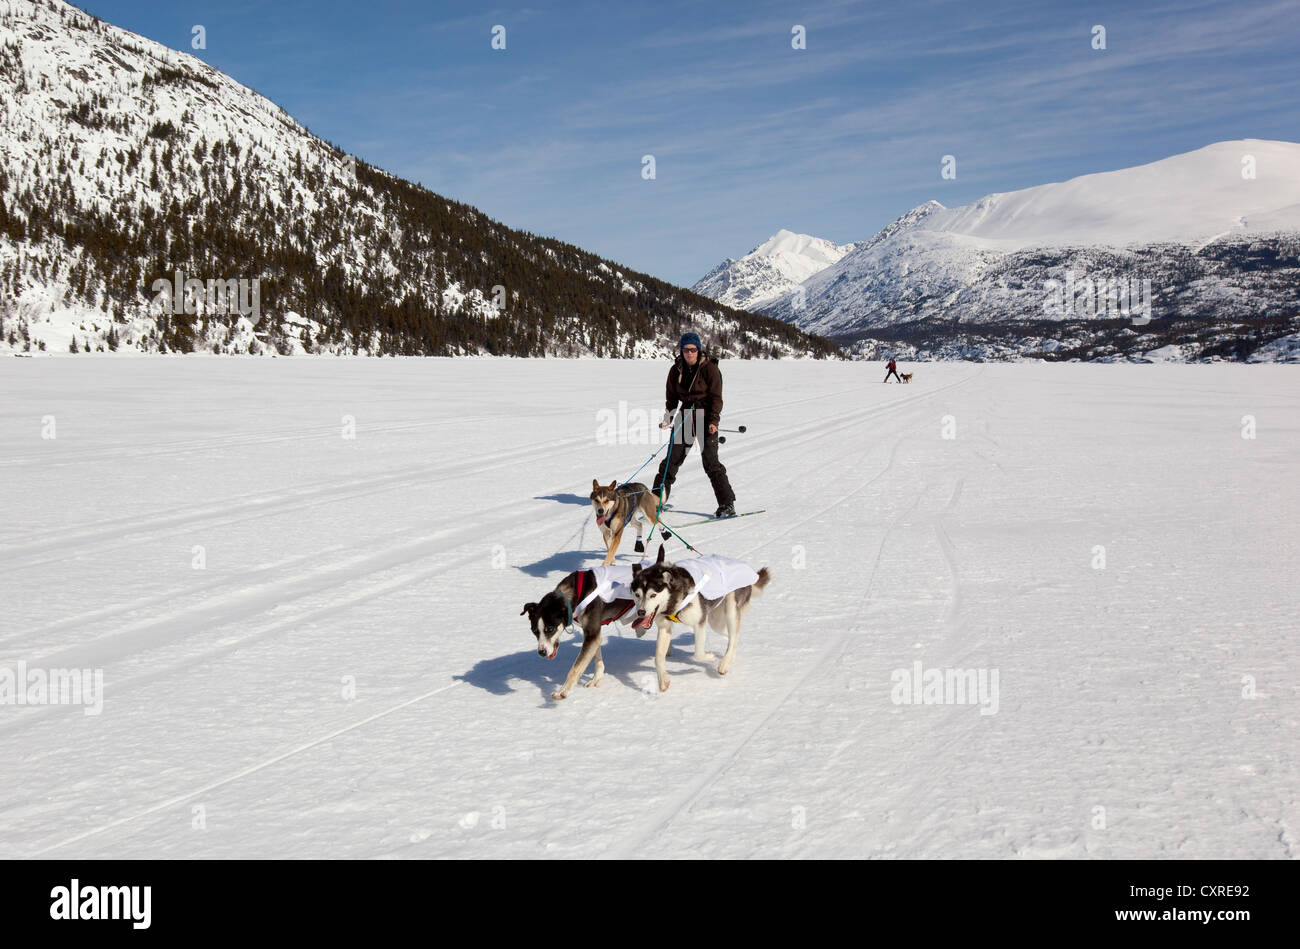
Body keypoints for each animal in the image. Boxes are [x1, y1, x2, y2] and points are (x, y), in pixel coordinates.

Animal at [520, 566, 655, 696]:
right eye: (535, 631)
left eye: (550, 629)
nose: (541, 652)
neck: (579, 593)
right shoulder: (592, 635)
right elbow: (597, 660)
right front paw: (596, 679)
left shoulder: (592, 635)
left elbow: (575, 668)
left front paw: (563, 691)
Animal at [631, 543, 769, 691]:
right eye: (637, 594)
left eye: (653, 595)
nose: (641, 612)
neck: (675, 598)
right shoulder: (664, 627)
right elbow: (658, 657)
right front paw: (663, 681)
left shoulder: (700, 621)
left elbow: (697, 653)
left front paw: (710, 657)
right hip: (716, 621)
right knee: (733, 637)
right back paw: (730, 657)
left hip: (731, 609)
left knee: (733, 638)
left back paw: (724, 664)